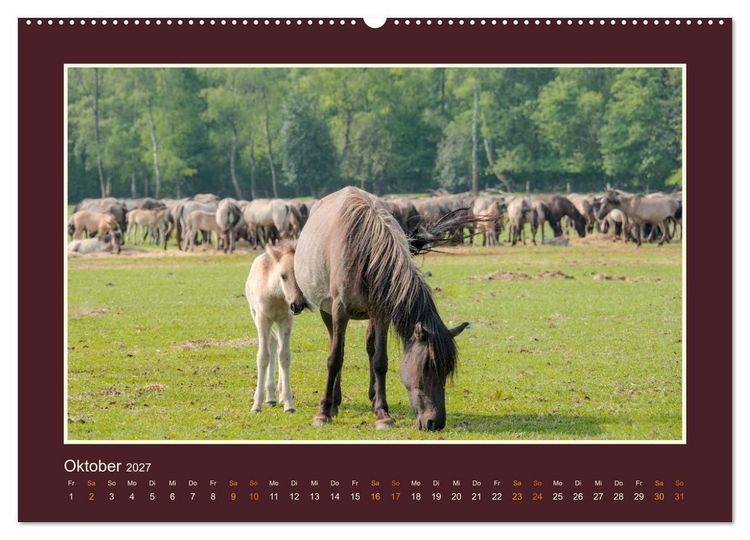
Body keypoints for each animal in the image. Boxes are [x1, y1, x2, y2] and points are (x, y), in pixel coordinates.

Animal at [245, 242, 308, 413]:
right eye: (283, 275)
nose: (297, 305)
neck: (276, 295)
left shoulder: (286, 320)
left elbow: (284, 356)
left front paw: (289, 403)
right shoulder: (262, 319)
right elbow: (263, 357)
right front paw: (256, 405)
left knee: (277, 345)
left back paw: (276, 395)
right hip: (255, 315)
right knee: (272, 343)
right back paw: (270, 396)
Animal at [294, 187, 469, 431]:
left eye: (446, 371)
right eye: (427, 367)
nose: (435, 422)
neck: (365, 251)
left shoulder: (382, 313)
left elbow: (380, 360)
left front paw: (382, 413)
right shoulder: (339, 310)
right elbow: (335, 358)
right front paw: (323, 413)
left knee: (369, 346)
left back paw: (372, 397)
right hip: (327, 310)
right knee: (335, 346)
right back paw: (334, 402)